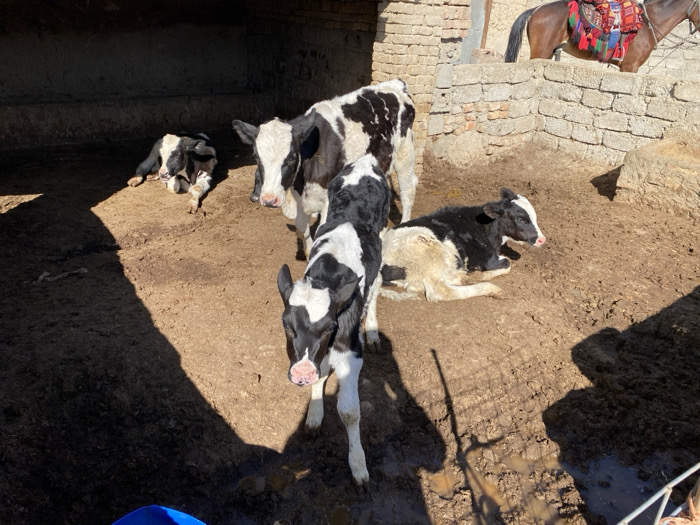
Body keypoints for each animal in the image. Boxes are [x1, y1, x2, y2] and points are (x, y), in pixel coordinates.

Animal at [232, 78, 416, 258]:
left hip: (404, 153)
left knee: (408, 191)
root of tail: (395, 84)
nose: (269, 200)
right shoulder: (300, 197)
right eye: (256, 157)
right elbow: (301, 228)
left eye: (292, 157)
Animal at [276, 154, 391, 487]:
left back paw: (373, 331)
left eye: (330, 326)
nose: (300, 373)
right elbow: (319, 375)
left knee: (377, 285)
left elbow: (350, 411)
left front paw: (358, 466)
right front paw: (314, 416)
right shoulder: (316, 355)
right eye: (286, 324)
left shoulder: (350, 352)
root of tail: (366, 160)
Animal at [380, 188, 546, 302]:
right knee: (439, 291)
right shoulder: (483, 257)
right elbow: (507, 263)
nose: (542, 239)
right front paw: (482, 275)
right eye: (521, 219)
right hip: (429, 251)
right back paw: (487, 287)